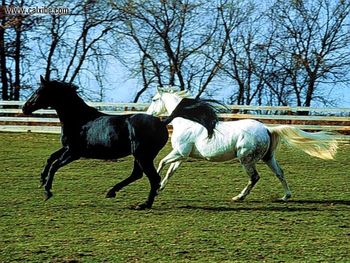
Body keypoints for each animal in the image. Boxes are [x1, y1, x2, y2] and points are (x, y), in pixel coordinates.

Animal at [22, 76, 170, 210]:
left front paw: (47, 191)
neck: (79, 119)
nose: (24, 108)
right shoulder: (67, 148)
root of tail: (162, 123)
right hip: (140, 156)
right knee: (138, 175)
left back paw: (144, 204)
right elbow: (50, 158)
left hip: (143, 156)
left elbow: (54, 166)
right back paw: (112, 192)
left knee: (154, 178)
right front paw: (41, 180)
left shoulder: (73, 153)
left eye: (39, 91)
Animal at [146, 88, 338, 202]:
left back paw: (238, 197)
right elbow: (170, 171)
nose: (148, 115)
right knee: (280, 173)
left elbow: (161, 162)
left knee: (255, 177)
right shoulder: (182, 155)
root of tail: (267, 128)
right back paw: (285, 196)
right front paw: (160, 188)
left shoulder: (179, 152)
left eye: (154, 99)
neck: (187, 122)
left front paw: (156, 185)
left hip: (246, 159)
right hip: (268, 158)